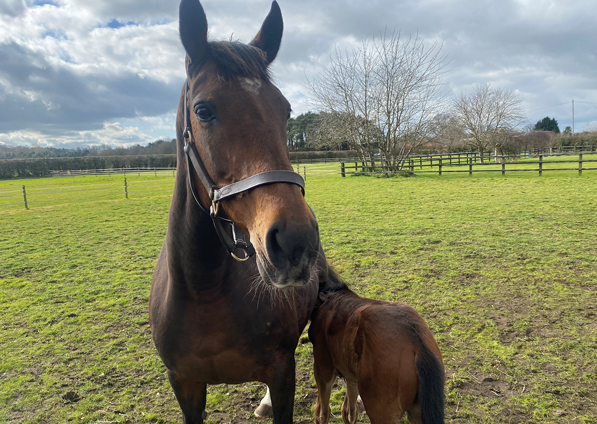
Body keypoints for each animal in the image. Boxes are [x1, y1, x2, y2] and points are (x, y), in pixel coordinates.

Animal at [149, 1, 336, 422]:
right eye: (203, 110)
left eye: (285, 111)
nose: (296, 241)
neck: (203, 291)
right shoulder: (183, 383)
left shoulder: (282, 374)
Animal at [308, 274, 442, 422]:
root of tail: (417, 343)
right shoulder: (351, 377)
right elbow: (349, 411)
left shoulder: (323, 370)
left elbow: (322, 412)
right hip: (417, 411)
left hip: (382, 414)